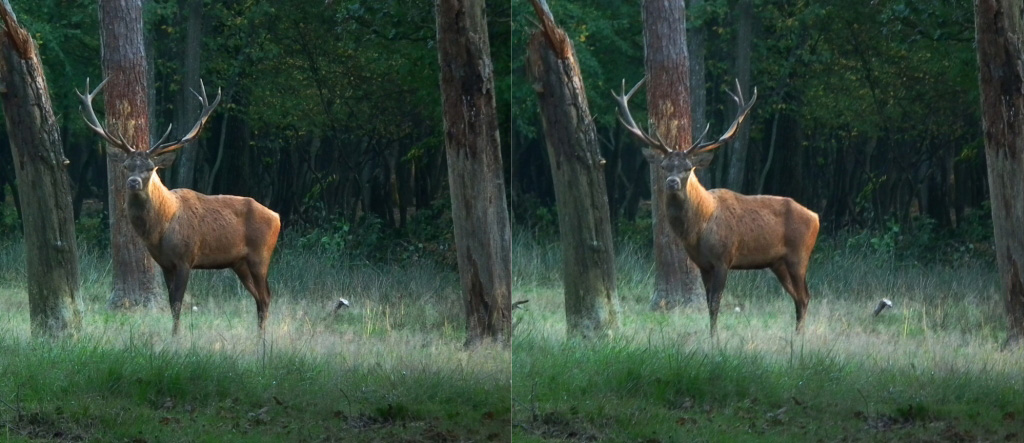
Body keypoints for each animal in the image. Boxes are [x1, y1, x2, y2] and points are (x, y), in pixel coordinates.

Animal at [77, 78, 281, 336]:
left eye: (150, 167)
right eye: (126, 166)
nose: (133, 182)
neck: (160, 229)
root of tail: (277, 216)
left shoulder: (186, 257)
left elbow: (177, 303)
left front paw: (176, 338)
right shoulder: (165, 263)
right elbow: (172, 303)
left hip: (260, 255)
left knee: (266, 296)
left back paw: (262, 339)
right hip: (239, 263)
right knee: (259, 298)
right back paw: (258, 337)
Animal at [612, 78, 819, 335]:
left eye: (688, 167)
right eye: (664, 166)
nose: (672, 182)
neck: (698, 229)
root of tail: (816, 217)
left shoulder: (723, 258)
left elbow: (715, 303)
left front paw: (715, 339)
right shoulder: (703, 264)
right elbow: (709, 303)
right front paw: (711, 337)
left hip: (799, 255)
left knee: (805, 296)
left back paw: (799, 337)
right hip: (778, 263)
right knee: (798, 298)